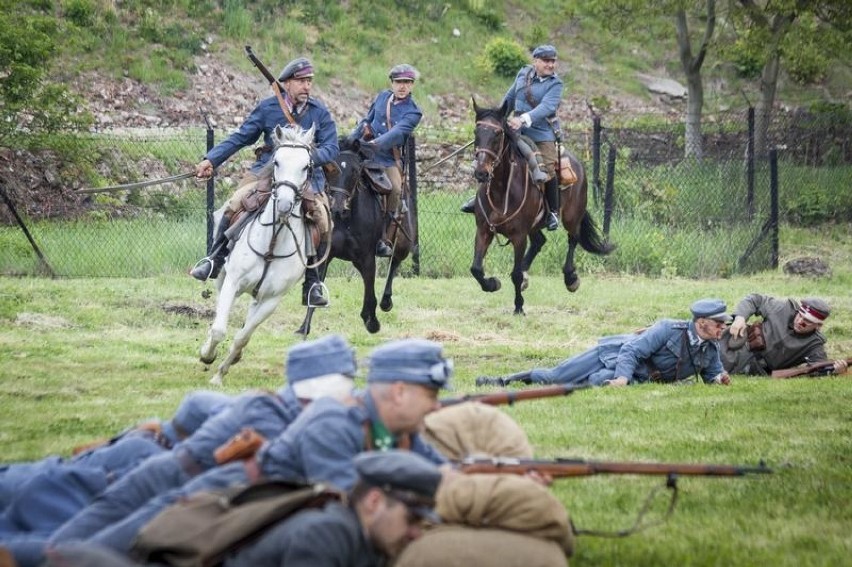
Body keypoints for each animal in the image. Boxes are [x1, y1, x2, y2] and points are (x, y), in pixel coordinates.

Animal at [201, 124, 314, 386]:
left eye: (306, 166)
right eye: (277, 162)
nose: (284, 205)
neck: (272, 243)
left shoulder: (271, 300)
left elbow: (242, 337)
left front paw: (221, 373)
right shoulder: (233, 282)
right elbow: (220, 329)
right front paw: (207, 356)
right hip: (224, 278)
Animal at [298, 138, 414, 338]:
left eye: (355, 170)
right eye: (329, 169)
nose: (337, 207)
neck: (346, 219)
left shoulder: (367, 258)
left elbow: (370, 291)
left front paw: (372, 321)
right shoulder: (325, 255)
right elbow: (316, 289)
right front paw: (305, 326)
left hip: (402, 244)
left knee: (394, 263)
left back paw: (386, 301)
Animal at [470, 99, 616, 318]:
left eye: (497, 134)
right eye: (476, 133)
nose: (481, 172)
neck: (501, 190)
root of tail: (577, 162)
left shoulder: (519, 236)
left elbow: (514, 274)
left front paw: (519, 307)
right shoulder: (483, 230)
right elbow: (476, 269)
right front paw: (493, 284)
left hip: (571, 217)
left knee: (573, 239)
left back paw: (570, 278)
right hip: (535, 225)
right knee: (540, 241)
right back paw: (527, 275)